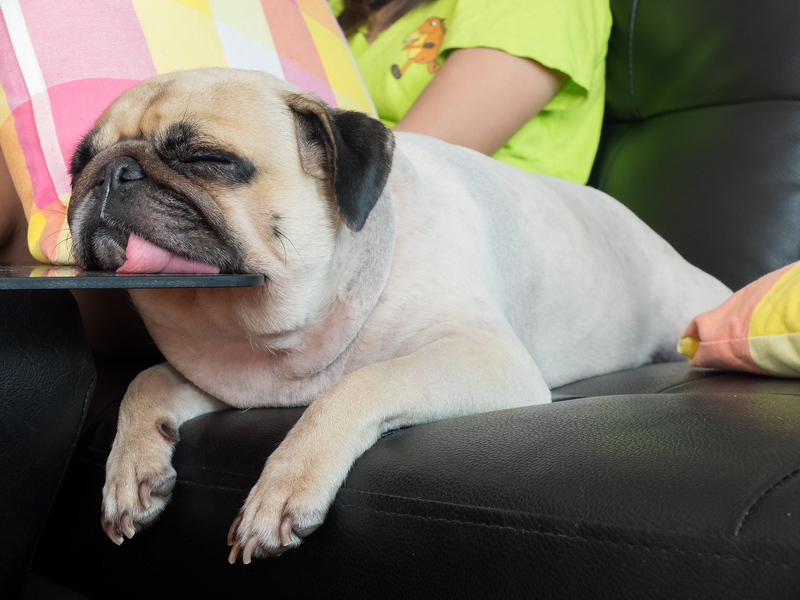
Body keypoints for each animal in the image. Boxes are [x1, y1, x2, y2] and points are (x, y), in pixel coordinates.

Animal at [67, 69, 732, 564]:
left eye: (207, 158)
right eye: (77, 165)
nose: (110, 173)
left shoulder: (484, 357)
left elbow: (355, 387)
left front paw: (285, 484)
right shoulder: (230, 380)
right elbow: (145, 381)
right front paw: (130, 466)